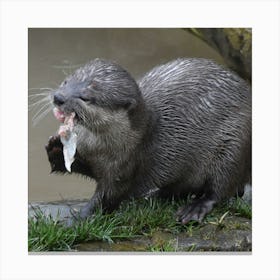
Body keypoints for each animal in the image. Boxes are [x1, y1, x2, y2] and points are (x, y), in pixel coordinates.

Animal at [46, 58, 252, 224]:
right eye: (66, 81)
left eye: (86, 98)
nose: (58, 97)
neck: (101, 148)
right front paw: (55, 148)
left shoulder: (127, 166)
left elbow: (108, 197)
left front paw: (78, 219)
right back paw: (157, 195)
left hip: (234, 146)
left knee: (222, 189)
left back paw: (194, 208)